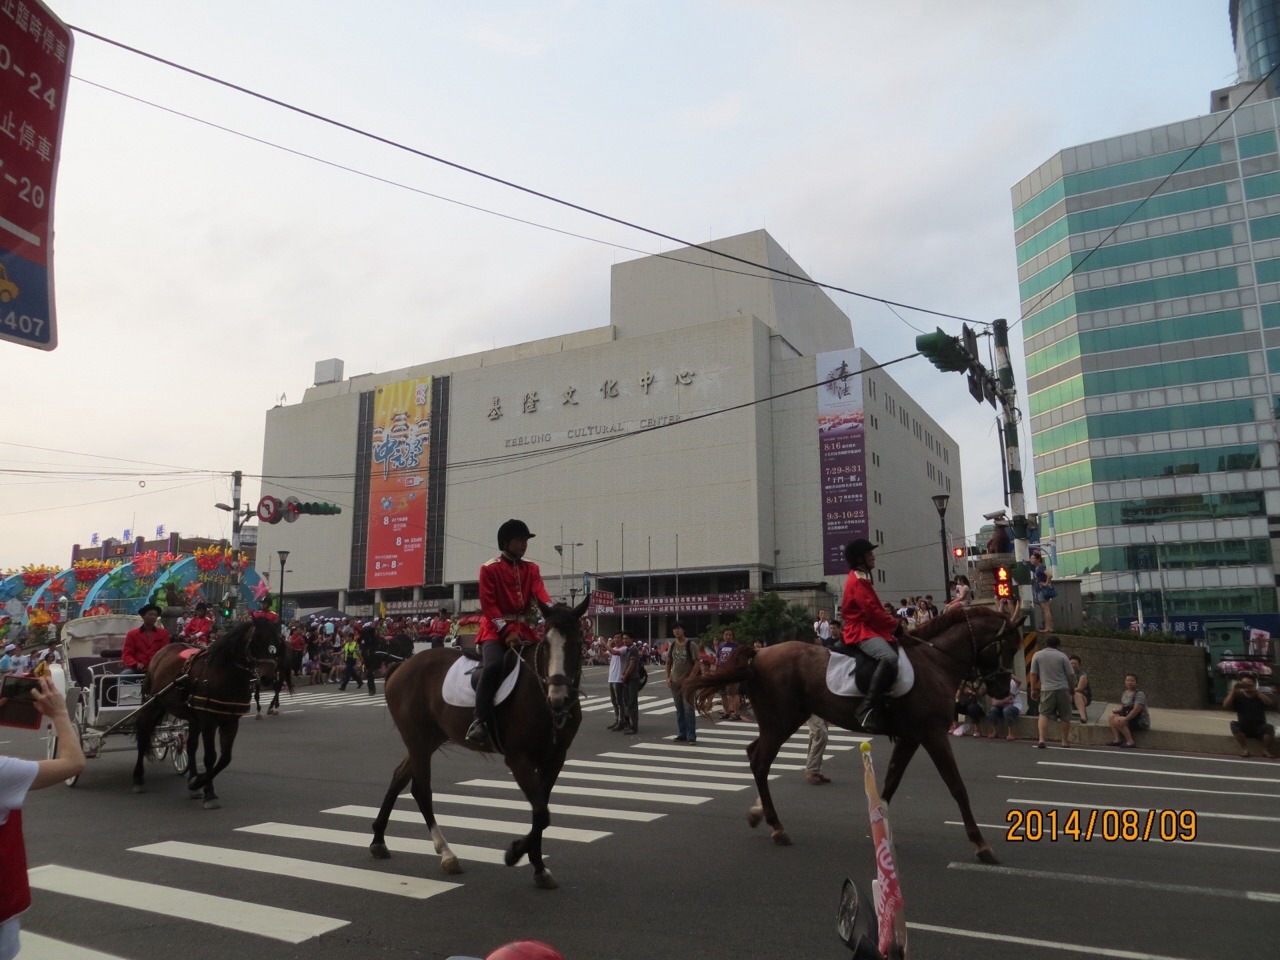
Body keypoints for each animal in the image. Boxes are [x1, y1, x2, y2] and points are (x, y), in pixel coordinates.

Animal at [132, 611, 285, 808]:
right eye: (255, 641)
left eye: (277, 644)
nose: (268, 678)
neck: (227, 675)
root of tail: (162, 651)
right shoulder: (208, 722)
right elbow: (210, 756)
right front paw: (208, 792)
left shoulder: (230, 722)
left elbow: (225, 758)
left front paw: (197, 782)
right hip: (152, 704)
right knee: (143, 736)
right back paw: (138, 778)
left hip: (192, 718)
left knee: (190, 745)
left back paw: (192, 781)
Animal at [371, 599, 588, 890]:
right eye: (545, 644)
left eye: (578, 643)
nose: (559, 698)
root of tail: (403, 665)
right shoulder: (518, 759)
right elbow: (541, 813)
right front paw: (514, 853)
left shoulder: (555, 758)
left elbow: (540, 813)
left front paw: (538, 867)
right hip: (417, 739)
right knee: (421, 789)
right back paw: (447, 854)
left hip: (428, 739)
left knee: (398, 778)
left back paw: (378, 840)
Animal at [686, 609, 1024, 865]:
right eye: (1007, 647)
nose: (1001, 689)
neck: (935, 662)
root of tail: (759, 652)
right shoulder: (933, 734)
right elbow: (957, 787)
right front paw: (981, 844)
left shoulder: (911, 737)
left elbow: (890, 782)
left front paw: (881, 828)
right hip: (781, 721)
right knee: (760, 761)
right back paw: (777, 826)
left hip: (778, 721)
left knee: (755, 755)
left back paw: (760, 815)